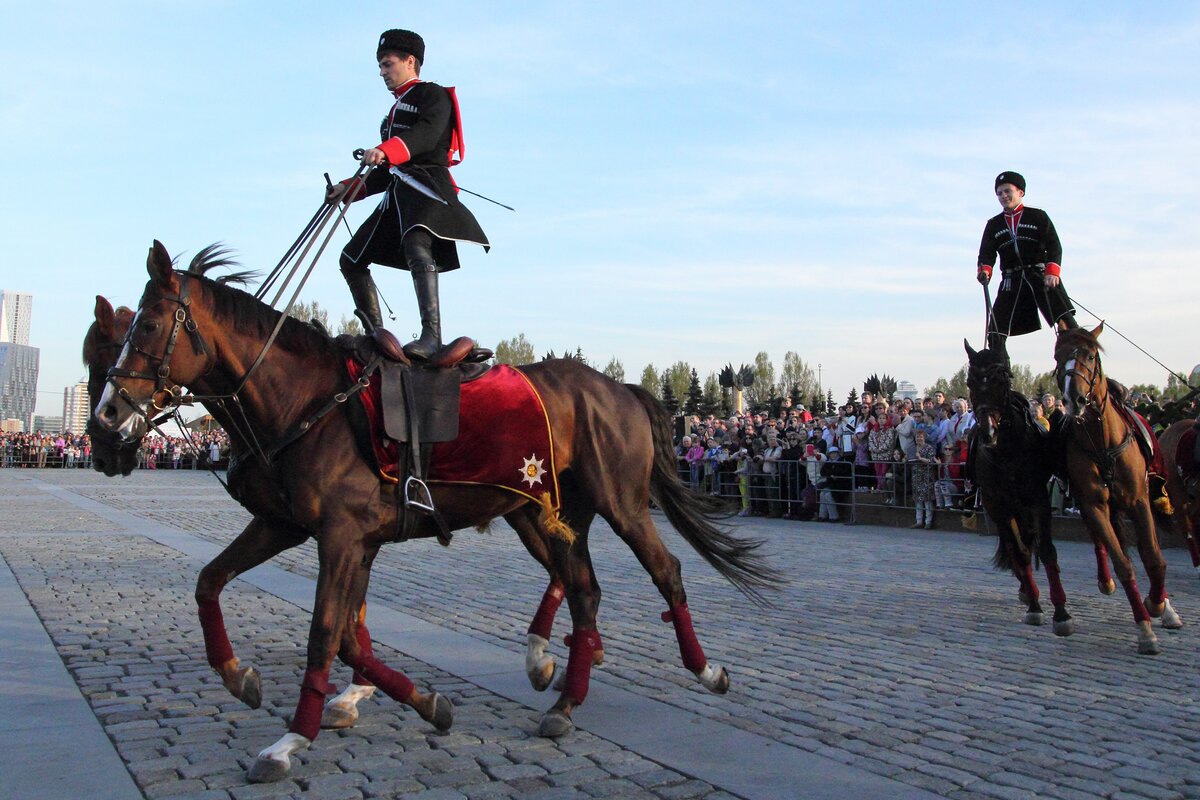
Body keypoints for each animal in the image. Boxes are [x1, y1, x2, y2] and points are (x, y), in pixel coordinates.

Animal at [98, 242, 782, 782]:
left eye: (149, 325)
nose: (107, 413)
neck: (309, 400)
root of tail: (620, 389)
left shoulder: (339, 537)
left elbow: (327, 633)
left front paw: (291, 739)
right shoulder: (295, 527)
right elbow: (219, 584)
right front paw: (247, 677)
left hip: (622, 505)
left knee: (664, 572)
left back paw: (704, 671)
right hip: (546, 514)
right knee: (582, 587)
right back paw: (562, 693)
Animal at [1051, 321, 1180, 652]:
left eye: (1090, 355)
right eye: (1058, 357)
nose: (1074, 400)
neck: (1102, 441)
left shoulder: (1139, 501)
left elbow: (1154, 558)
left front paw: (1158, 605)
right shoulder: (1093, 504)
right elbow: (1123, 562)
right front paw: (1145, 628)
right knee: (1105, 543)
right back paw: (1105, 581)